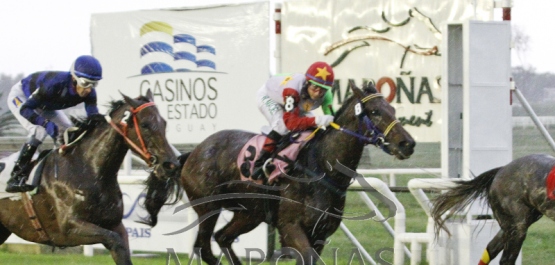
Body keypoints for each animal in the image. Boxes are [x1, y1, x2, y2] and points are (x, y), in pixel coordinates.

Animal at [0, 89, 180, 264]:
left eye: (164, 123)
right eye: (144, 125)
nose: (171, 165)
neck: (89, 170)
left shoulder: (115, 224)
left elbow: (122, 249)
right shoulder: (69, 228)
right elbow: (114, 240)